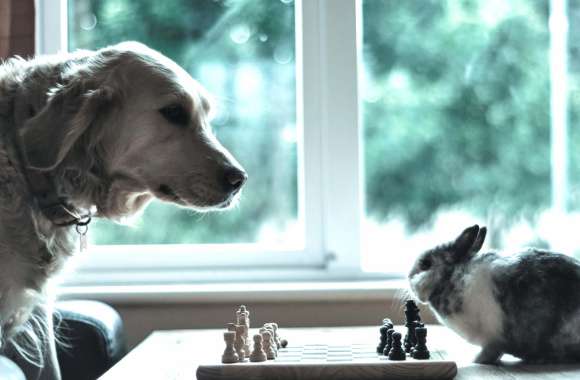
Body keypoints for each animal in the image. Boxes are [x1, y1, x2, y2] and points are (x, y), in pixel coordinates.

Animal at [410, 224, 580, 364]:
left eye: (426, 264)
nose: (409, 279)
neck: (451, 276)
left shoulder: (493, 339)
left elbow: (491, 352)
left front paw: (475, 360)